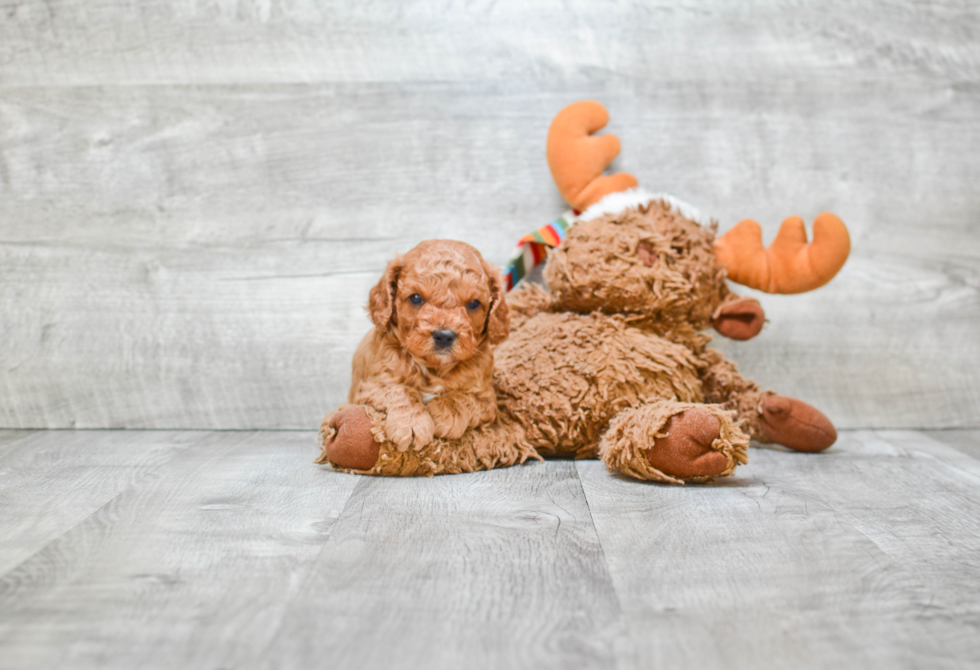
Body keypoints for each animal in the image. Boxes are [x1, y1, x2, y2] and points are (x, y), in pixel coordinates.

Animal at [346, 239, 512, 454]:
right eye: (416, 298)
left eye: (474, 304)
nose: (444, 336)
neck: (434, 367)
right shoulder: (369, 388)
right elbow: (401, 390)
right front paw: (410, 424)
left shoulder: (487, 400)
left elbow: (463, 398)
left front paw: (445, 413)